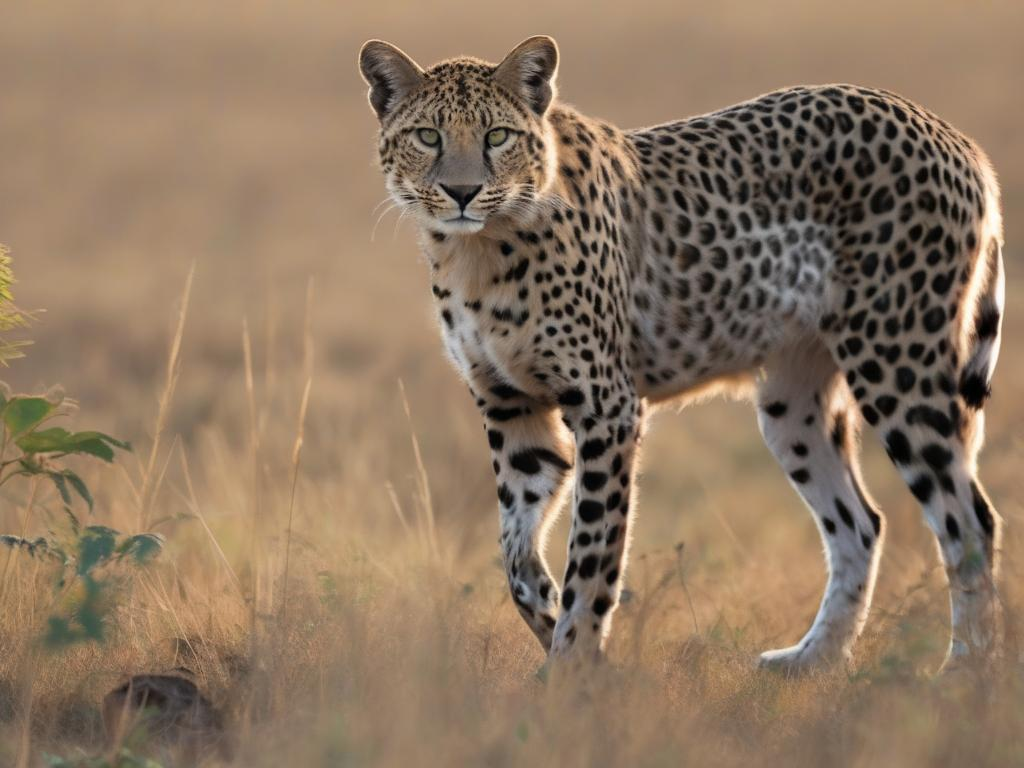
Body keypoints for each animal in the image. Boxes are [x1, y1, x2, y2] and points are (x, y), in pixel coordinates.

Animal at [358, 35, 1005, 673]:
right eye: (428, 136)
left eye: (497, 135)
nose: (462, 192)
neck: (479, 248)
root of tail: (943, 128)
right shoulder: (512, 406)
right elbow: (516, 558)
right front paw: (552, 632)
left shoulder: (607, 407)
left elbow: (593, 556)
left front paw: (572, 668)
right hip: (793, 402)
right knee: (860, 523)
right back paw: (813, 660)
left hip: (897, 361)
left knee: (968, 519)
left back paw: (965, 669)